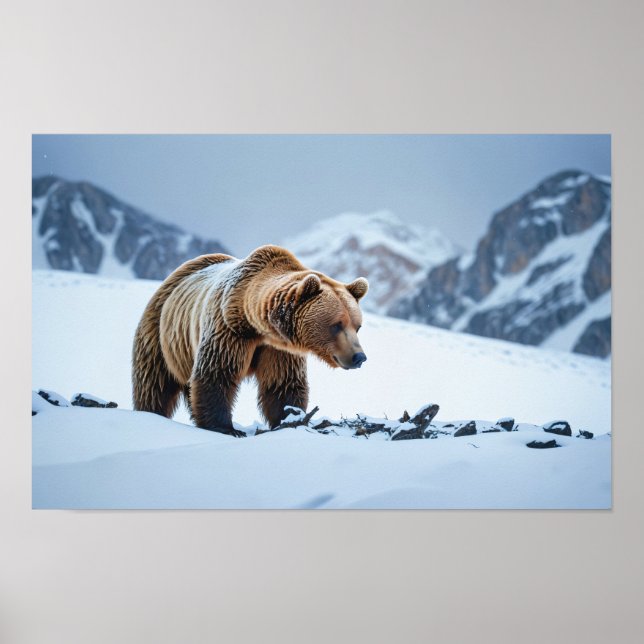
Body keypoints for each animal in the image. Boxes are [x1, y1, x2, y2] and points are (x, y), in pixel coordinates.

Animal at [132, 245, 368, 436]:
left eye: (357, 326)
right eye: (336, 325)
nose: (359, 357)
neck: (255, 324)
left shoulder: (279, 349)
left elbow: (282, 383)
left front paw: (290, 418)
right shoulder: (229, 330)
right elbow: (217, 373)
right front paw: (226, 428)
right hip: (160, 333)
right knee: (154, 383)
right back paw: (149, 412)